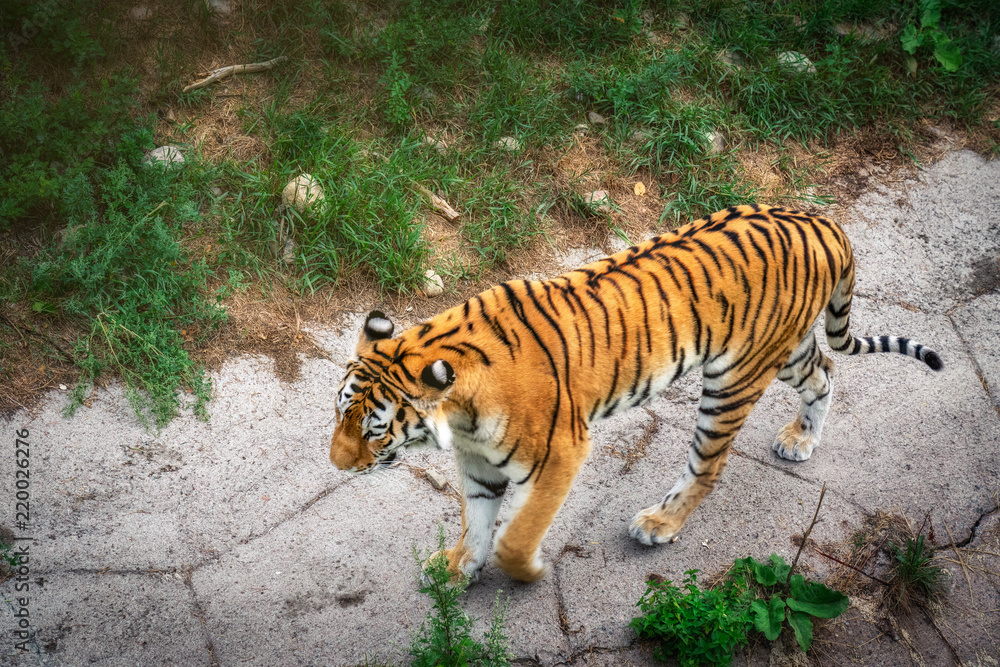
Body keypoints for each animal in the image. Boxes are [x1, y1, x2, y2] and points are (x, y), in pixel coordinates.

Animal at [329, 204, 942, 583]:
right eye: (339, 415)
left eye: (375, 430)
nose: (335, 464)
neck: (457, 416)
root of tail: (821, 219)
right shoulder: (478, 464)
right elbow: (476, 524)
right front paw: (458, 570)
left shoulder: (562, 454)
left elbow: (513, 537)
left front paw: (528, 573)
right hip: (784, 350)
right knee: (826, 371)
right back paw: (800, 440)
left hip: (735, 377)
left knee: (709, 464)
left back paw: (660, 524)